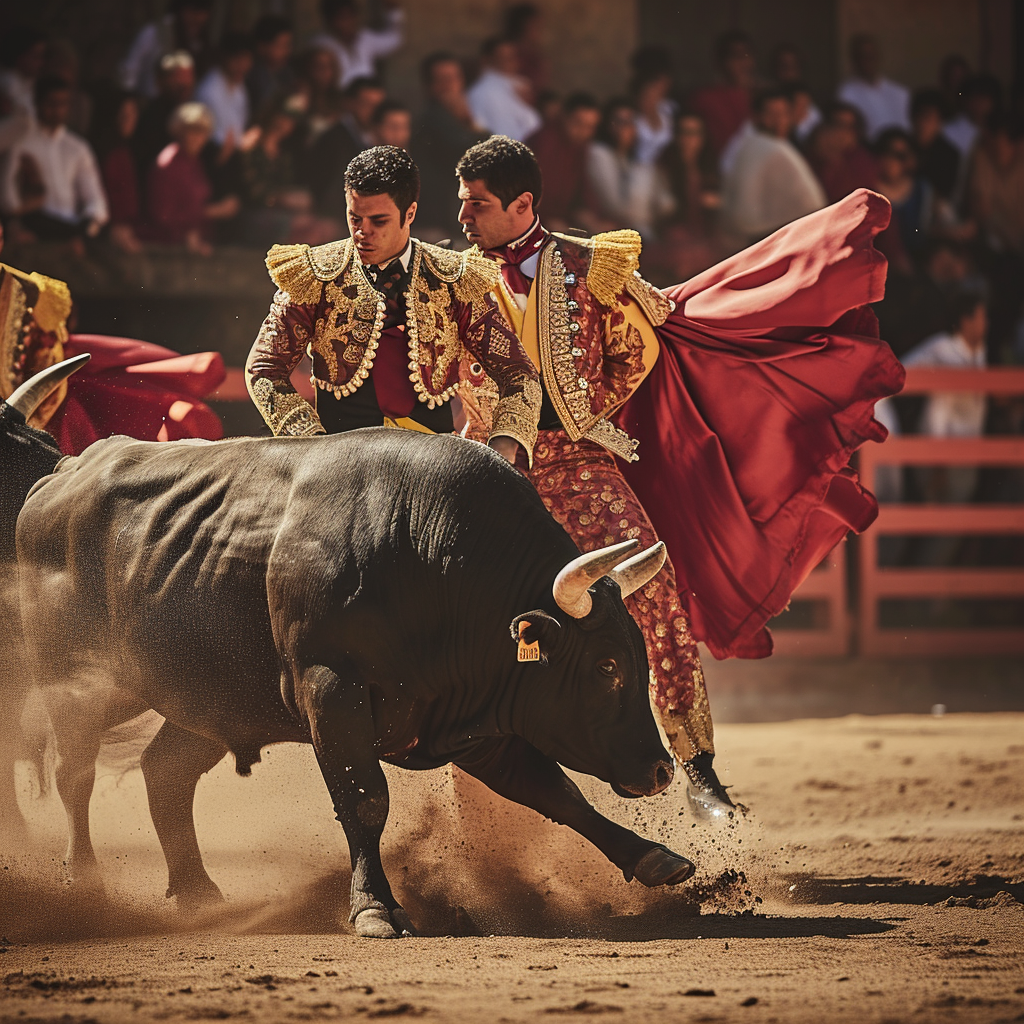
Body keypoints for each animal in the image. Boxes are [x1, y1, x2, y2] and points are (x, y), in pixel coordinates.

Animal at [2, 358, 696, 937]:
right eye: (606, 666)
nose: (661, 771)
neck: (431, 557)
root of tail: (60, 475)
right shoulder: (331, 691)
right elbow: (364, 800)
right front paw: (375, 908)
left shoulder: (475, 717)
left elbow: (554, 791)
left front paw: (655, 858)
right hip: (78, 682)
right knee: (74, 774)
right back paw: (86, 882)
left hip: (209, 699)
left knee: (164, 773)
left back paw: (198, 892)